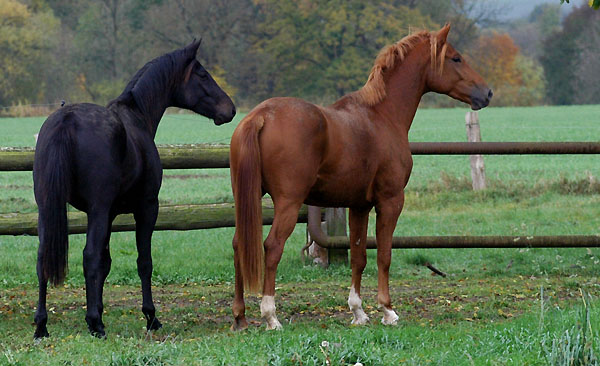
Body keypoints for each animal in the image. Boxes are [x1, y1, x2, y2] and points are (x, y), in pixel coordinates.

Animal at [32, 39, 234, 338]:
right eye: (203, 74)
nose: (230, 109)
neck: (137, 118)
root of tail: (66, 119)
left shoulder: (109, 215)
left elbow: (105, 263)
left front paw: (100, 309)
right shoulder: (146, 208)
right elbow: (143, 262)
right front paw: (150, 316)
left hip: (47, 208)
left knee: (43, 257)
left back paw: (42, 325)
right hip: (98, 209)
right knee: (88, 256)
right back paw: (95, 324)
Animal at [230, 24, 492, 330]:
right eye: (455, 58)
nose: (487, 93)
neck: (381, 115)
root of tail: (261, 116)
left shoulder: (359, 206)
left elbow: (359, 257)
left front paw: (358, 311)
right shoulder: (390, 201)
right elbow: (384, 255)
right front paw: (387, 310)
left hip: (247, 199)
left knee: (239, 244)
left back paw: (240, 316)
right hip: (288, 203)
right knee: (272, 248)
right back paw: (270, 316)